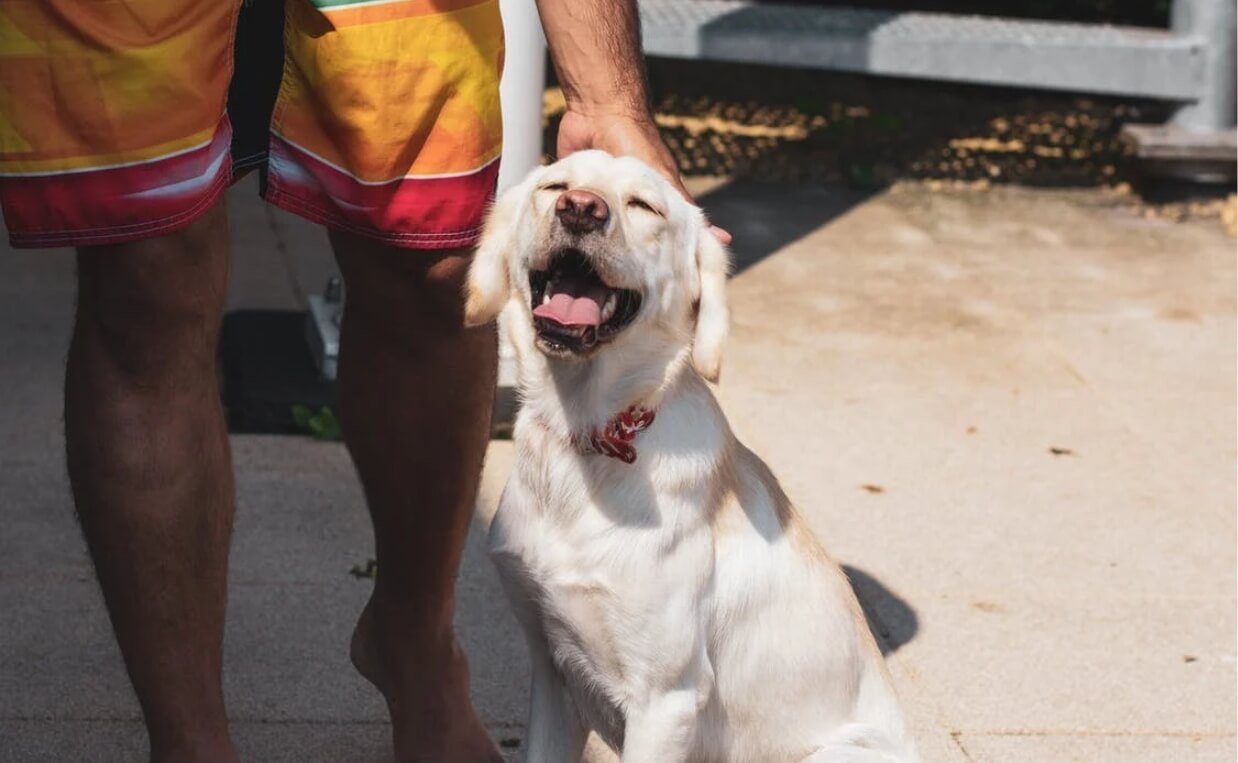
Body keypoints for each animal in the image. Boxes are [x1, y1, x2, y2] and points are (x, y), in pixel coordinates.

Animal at [465, 150, 921, 763]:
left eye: (644, 206)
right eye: (554, 186)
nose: (581, 209)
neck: (584, 435)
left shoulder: (665, 699)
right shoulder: (552, 672)